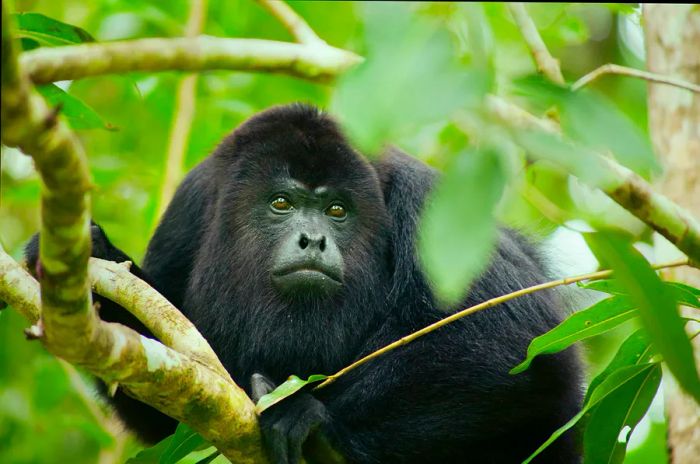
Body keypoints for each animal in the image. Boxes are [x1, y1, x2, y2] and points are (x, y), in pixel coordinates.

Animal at [24, 103, 584, 462]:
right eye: (281, 203)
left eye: (337, 210)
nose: (313, 239)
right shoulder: (191, 204)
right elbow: (161, 417)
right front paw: (95, 254)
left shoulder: (425, 201)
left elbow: (518, 346)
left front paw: (314, 422)